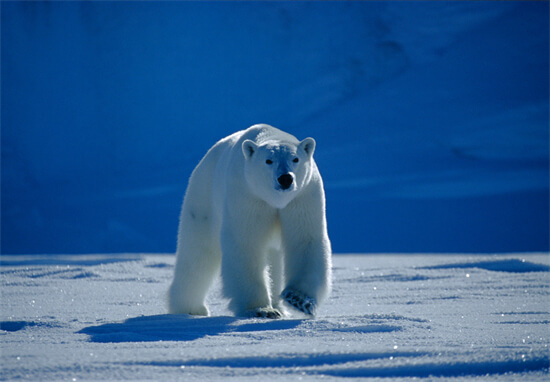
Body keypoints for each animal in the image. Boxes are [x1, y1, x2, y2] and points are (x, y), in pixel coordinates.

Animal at [167, 124, 332, 318]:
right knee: (197, 254)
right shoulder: (247, 194)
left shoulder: (302, 196)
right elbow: (246, 243)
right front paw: (261, 309)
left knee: (273, 258)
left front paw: (298, 299)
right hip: (203, 202)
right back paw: (191, 308)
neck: (275, 200)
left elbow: (305, 238)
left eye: (295, 158)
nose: (285, 178)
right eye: (268, 161)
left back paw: (280, 306)